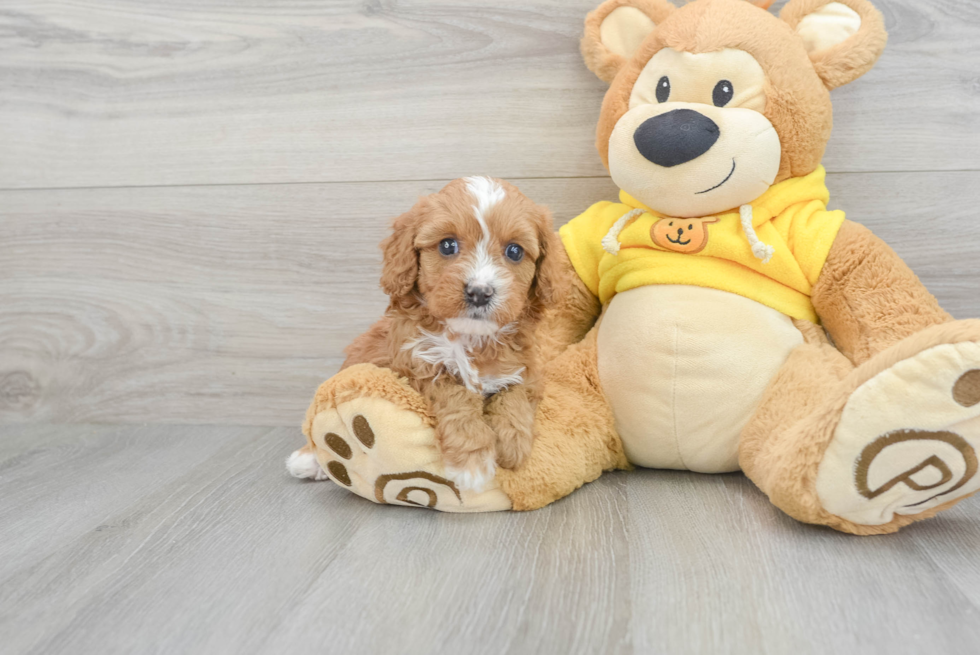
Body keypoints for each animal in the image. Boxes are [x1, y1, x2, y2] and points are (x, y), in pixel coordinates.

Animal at [342, 177, 560, 490]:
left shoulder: (525, 366)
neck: (471, 337)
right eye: (447, 245)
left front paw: (514, 443)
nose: (480, 292)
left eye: (515, 251)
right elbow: (456, 397)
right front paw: (473, 464)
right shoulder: (418, 364)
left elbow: (515, 394)